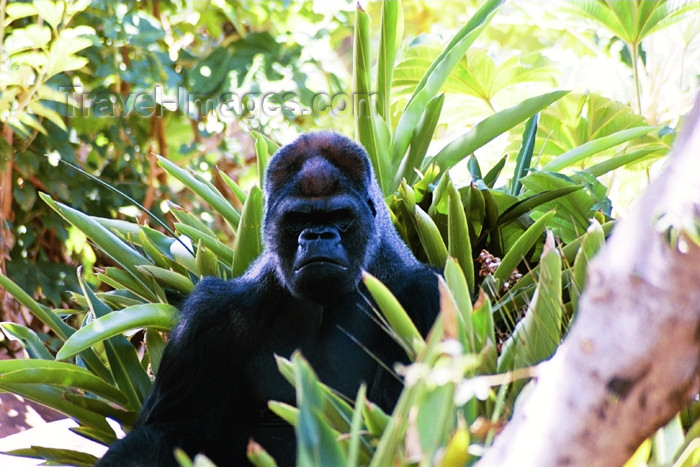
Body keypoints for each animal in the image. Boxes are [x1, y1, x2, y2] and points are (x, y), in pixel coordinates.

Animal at [96, 133, 440, 467]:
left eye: (339, 216)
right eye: (298, 219)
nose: (317, 236)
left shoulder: (426, 297)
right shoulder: (212, 315)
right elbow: (169, 431)